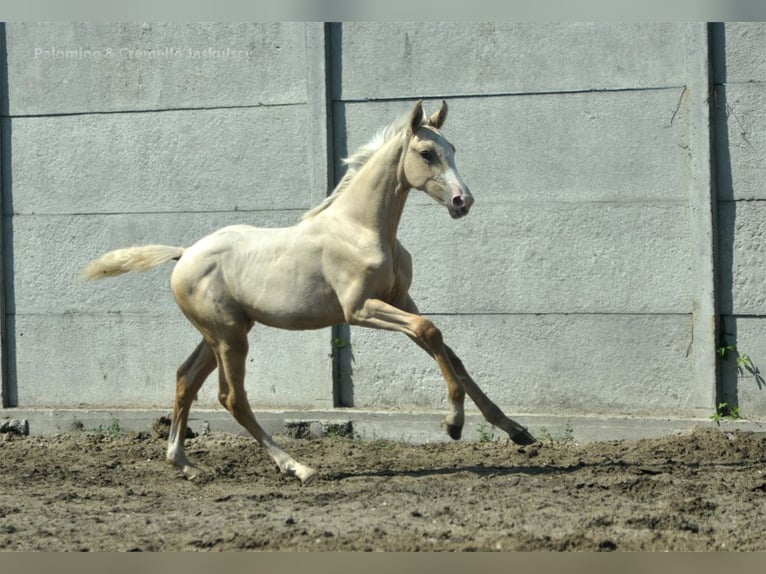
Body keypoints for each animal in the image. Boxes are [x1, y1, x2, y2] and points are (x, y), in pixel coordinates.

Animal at [84, 101, 536, 484]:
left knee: (185, 380)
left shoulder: (399, 301)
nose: (463, 201)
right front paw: (453, 424)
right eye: (426, 153)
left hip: (220, 333)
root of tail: (184, 255)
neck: (362, 228)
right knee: (232, 397)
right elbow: (429, 331)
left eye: (453, 149)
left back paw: (185, 464)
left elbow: (449, 351)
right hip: (230, 337)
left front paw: (516, 430)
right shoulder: (359, 309)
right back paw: (297, 467)